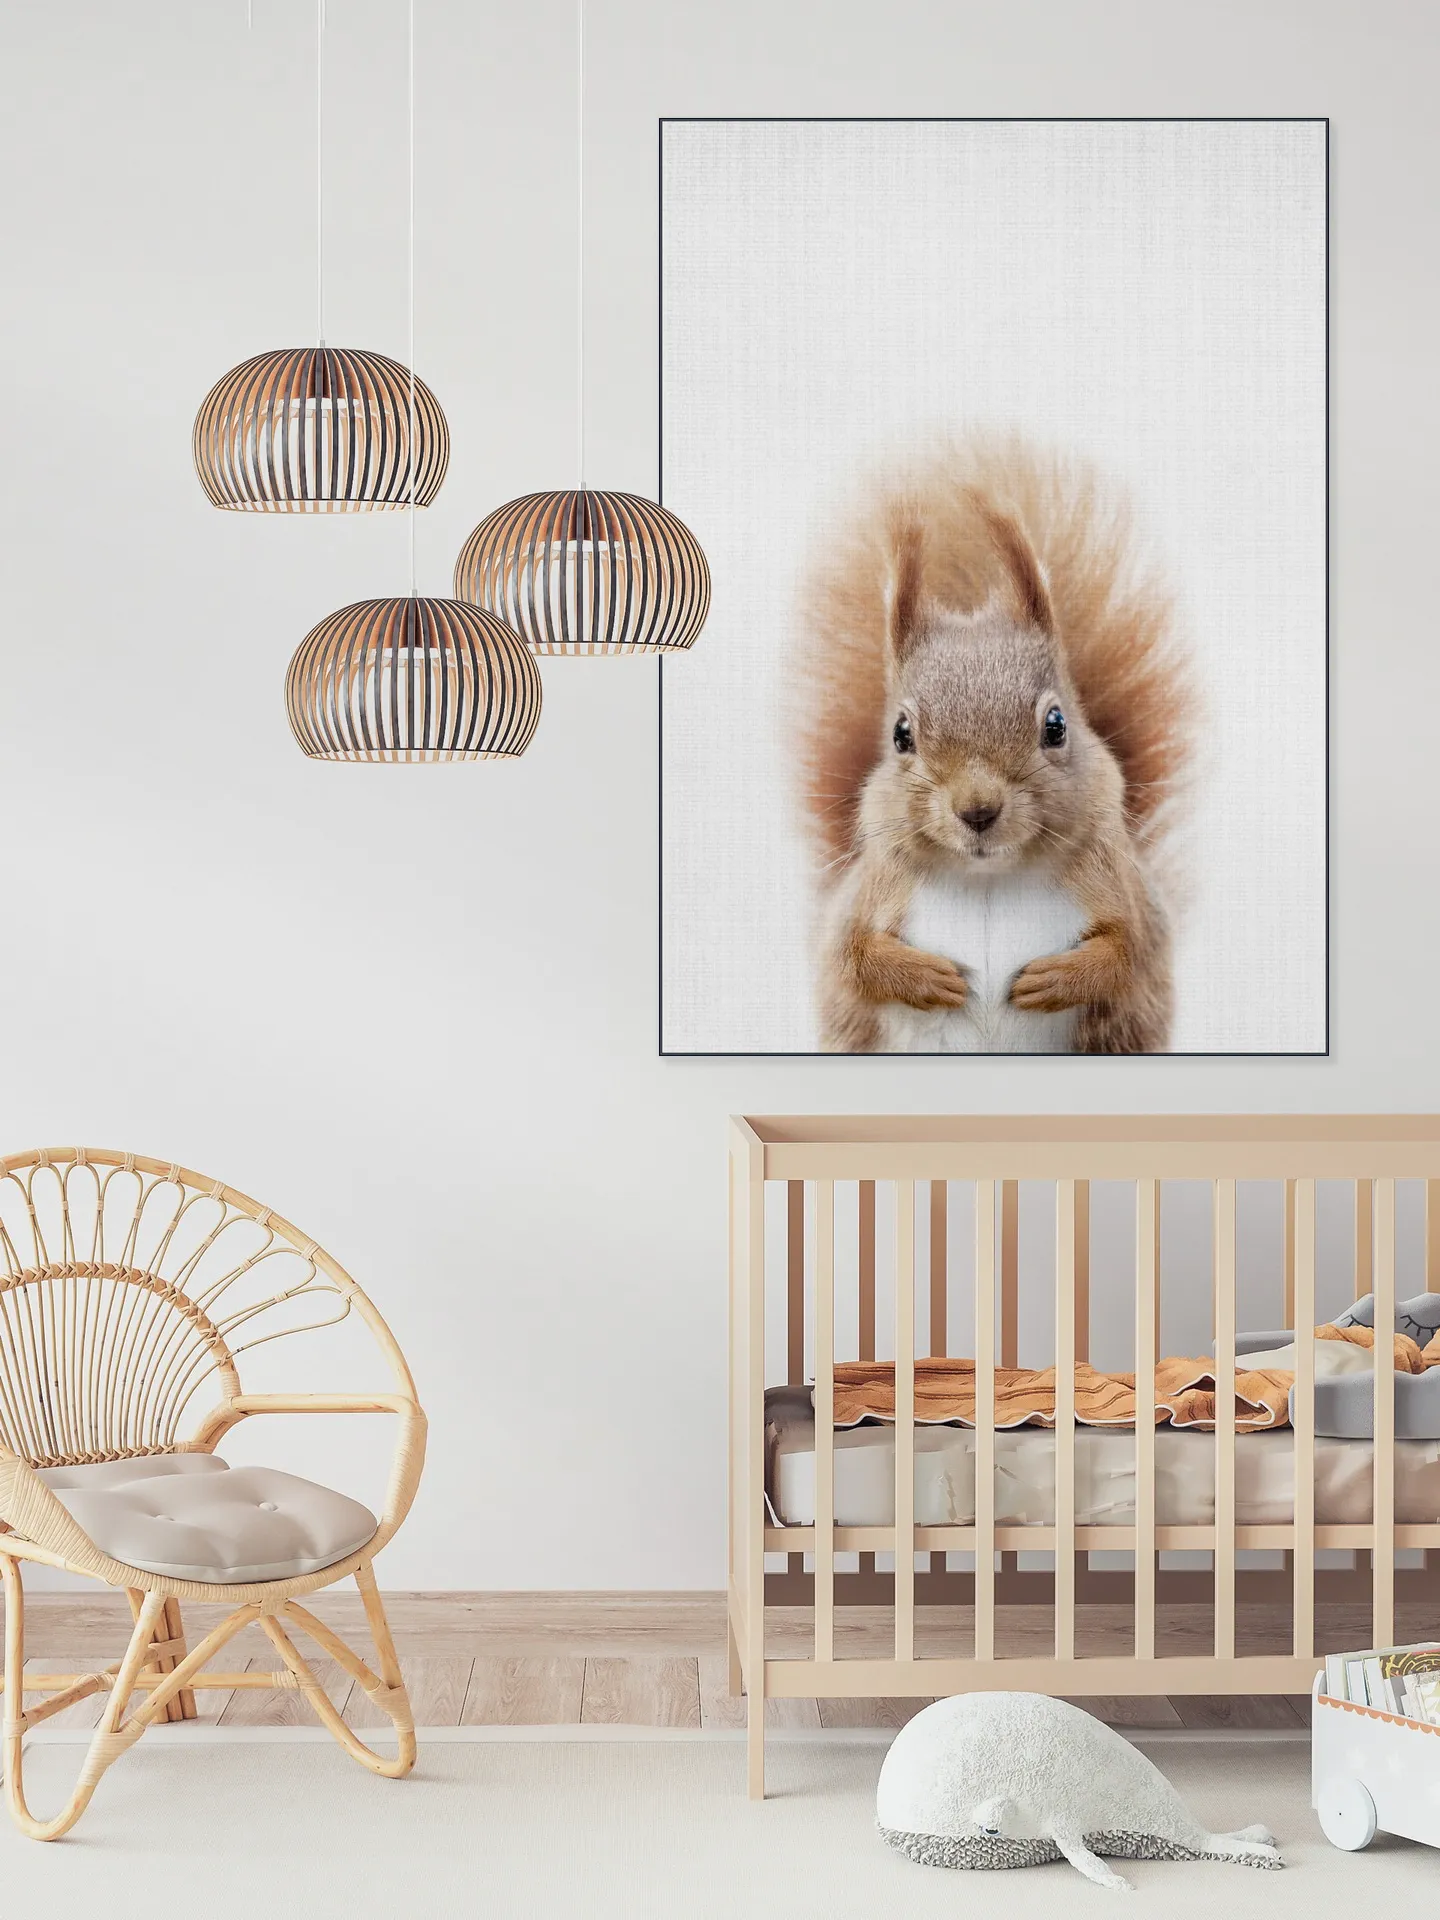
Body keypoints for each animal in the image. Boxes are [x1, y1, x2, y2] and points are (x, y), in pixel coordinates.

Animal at [796, 435, 1193, 1054]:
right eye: (901, 735)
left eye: (1056, 725)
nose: (978, 810)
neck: (988, 879)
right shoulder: (868, 896)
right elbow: (851, 957)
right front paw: (923, 976)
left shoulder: (1124, 892)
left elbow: (1130, 951)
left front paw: (1061, 977)